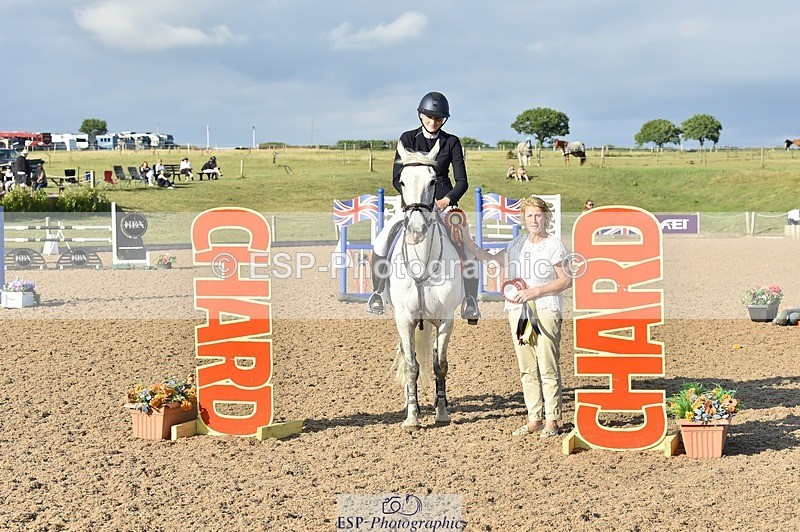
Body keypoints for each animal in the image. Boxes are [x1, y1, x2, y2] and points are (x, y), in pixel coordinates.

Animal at [388, 139, 463, 431]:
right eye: (402, 181)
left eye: (433, 181)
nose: (417, 230)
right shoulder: (404, 320)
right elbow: (411, 366)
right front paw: (412, 418)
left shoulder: (445, 320)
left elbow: (439, 365)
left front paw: (442, 413)